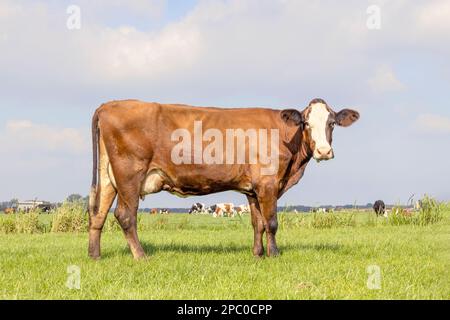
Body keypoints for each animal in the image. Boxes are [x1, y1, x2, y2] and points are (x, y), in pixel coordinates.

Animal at [88, 99, 358, 258]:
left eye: (332, 123)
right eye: (306, 123)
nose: (323, 151)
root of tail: (108, 105)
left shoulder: (253, 189)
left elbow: (258, 223)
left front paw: (257, 254)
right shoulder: (268, 184)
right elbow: (271, 222)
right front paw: (274, 254)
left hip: (109, 177)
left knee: (98, 212)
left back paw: (95, 255)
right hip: (129, 175)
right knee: (125, 215)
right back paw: (141, 256)